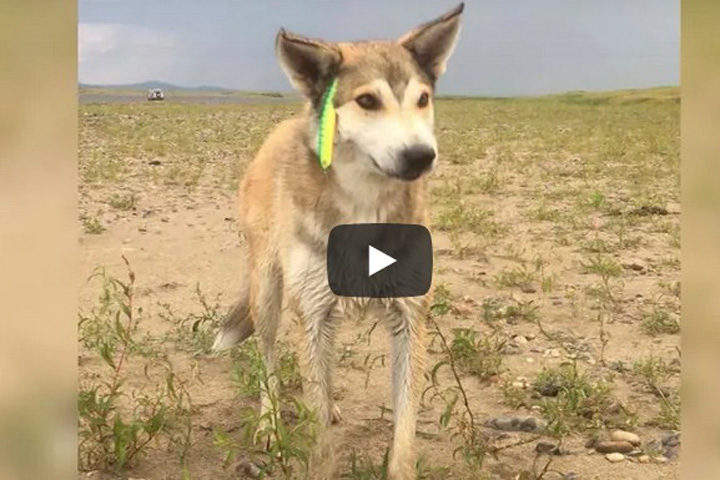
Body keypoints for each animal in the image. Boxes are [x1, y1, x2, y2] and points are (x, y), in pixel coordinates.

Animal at [211, 2, 464, 476]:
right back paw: (270, 423)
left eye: (423, 99)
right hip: (268, 294)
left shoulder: (409, 321)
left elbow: (404, 433)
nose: (422, 156)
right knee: (268, 359)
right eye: (367, 101)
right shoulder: (311, 315)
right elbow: (321, 442)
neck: (365, 204)